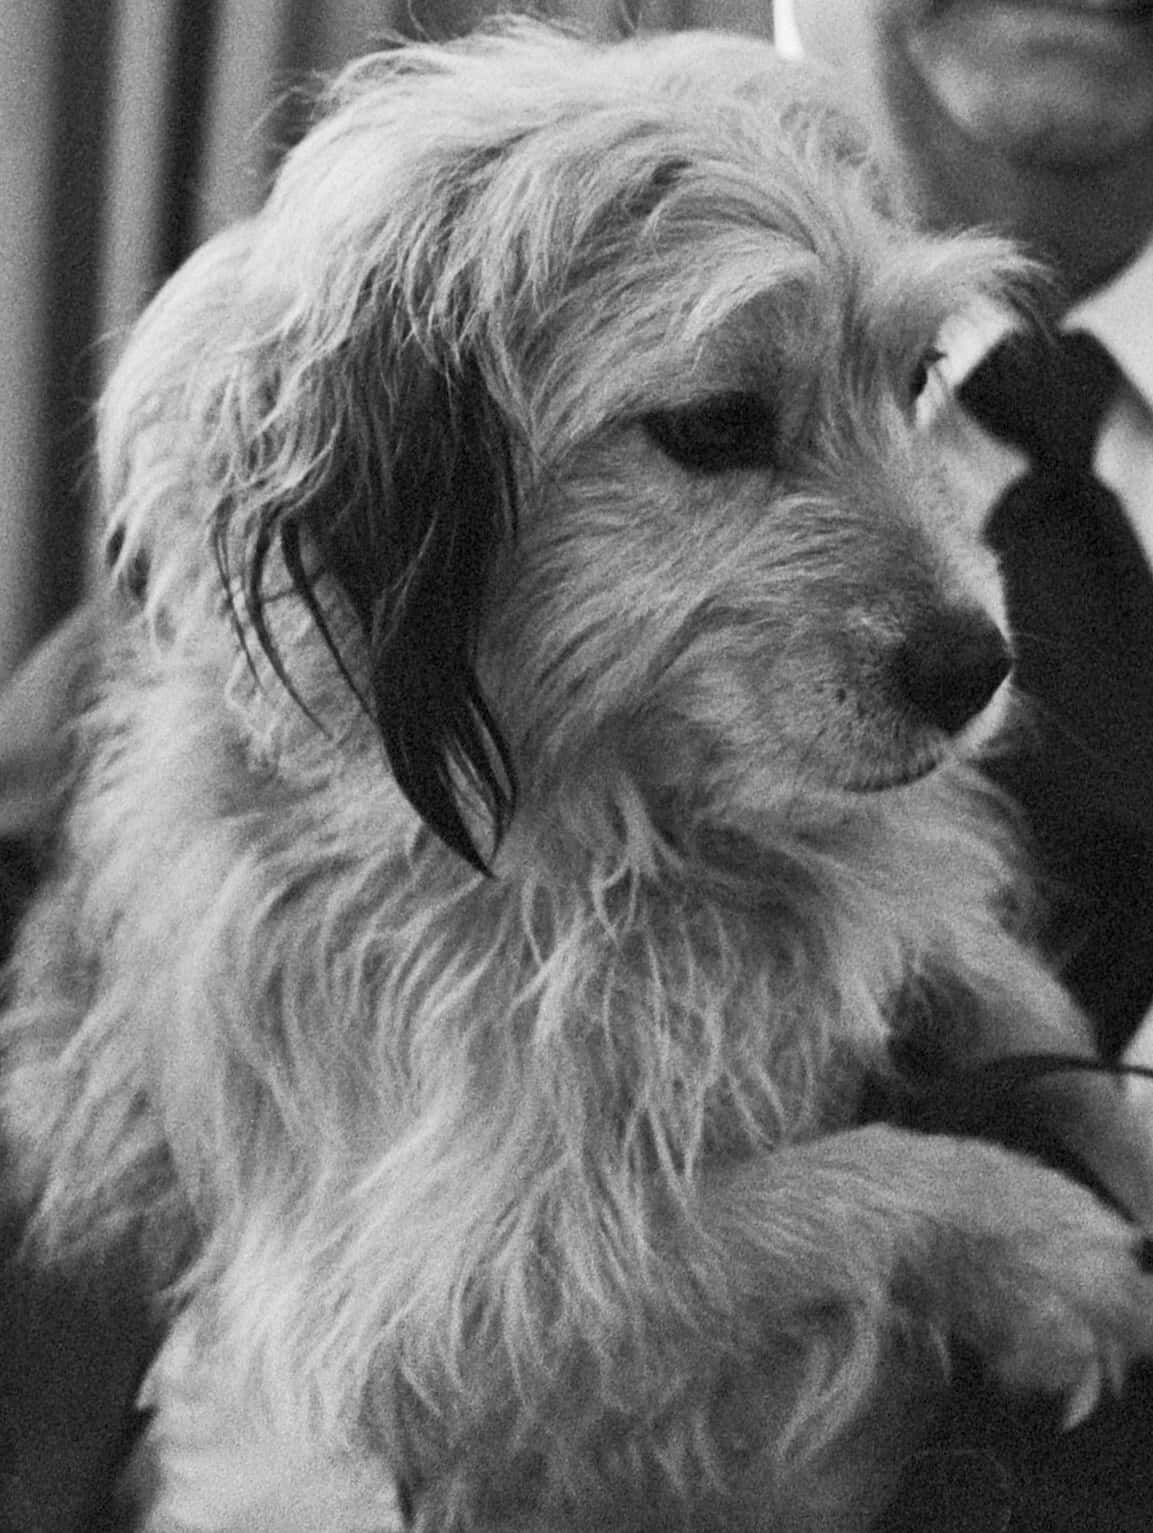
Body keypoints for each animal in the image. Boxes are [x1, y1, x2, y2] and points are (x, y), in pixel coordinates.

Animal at [2, 23, 1153, 1533]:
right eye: (715, 426)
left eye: (915, 382)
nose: (978, 665)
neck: (633, 835)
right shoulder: (414, 1301)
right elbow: (814, 1191)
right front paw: (1052, 1254)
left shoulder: (912, 944)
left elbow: (1041, 1027)